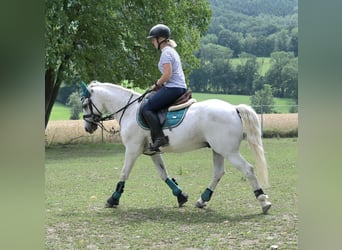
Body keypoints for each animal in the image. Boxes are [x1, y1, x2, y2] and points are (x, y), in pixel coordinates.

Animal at [81, 81, 272, 214]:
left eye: (84, 105)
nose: (88, 127)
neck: (128, 110)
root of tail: (234, 109)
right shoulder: (152, 151)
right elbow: (163, 174)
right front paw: (181, 196)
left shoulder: (132, 149)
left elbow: (124, 174)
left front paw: (113, 199)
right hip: (218, 150)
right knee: (218, 173)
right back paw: (202, 200)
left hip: (228, 151)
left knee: (248, 169)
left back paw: (264, 201)